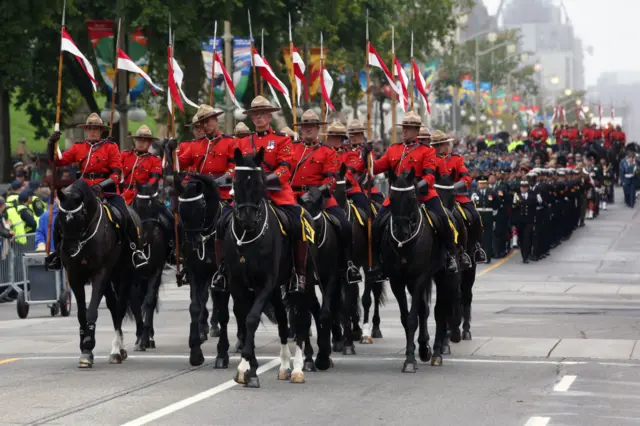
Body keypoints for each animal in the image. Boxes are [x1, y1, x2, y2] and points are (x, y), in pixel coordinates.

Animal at [55, 179, 135, 366]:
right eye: (60, 217)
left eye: (80, 216)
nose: (69, 250)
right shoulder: (74, 275)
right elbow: (81, 313)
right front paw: (84, 345)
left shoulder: (101, 273)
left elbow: (91, 311)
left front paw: (88, 345)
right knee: (113, 305)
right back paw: (119, 348)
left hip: (124, 274)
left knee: (119, 308)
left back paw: (116, 350)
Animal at [130, 185, 172, 352]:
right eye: (139, 207)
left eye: (155, 205)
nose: (152, 236)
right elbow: (135, 302)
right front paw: (139, 335)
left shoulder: (156, 270)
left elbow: (149, 301)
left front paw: (144, 338)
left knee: (150, 300)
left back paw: (149, 337)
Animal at [226, 148, 304, 388]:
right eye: (235, 180)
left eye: (260, 182)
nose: (248, 219)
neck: (247, 237)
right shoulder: (237, 284)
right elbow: (243, 319)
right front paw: (249, 365)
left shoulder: (265, 283)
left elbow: (251, 318)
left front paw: (246, 368)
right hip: (278, 289)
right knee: (282, 319)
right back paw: (285, 365)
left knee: (301, 318)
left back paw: (298, 368)